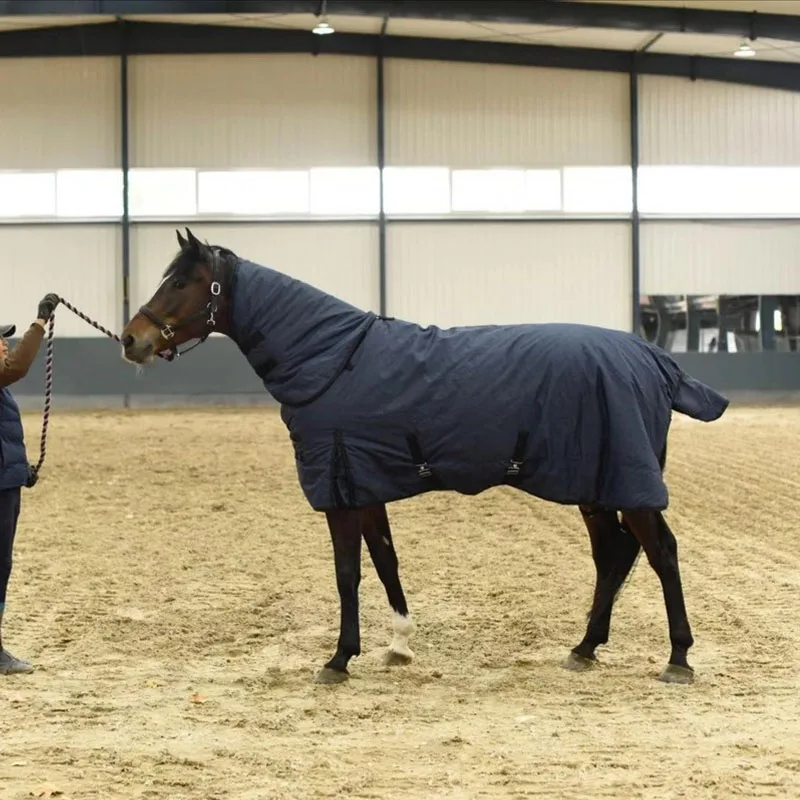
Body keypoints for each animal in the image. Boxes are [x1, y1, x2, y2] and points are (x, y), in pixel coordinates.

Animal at [120, 227, 729, 687]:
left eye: (181, 281)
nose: (131, 339)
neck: (334, 359)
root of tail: (655, 359)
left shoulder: (340, 490)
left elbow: (347, 572)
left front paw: (338, 659)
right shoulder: (364, 483)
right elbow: (385, 561)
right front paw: (399, 645)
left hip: (626, 484)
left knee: (661, 553)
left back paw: (677, 658)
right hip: (596, 485)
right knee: (614, 555)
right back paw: (583, 648)